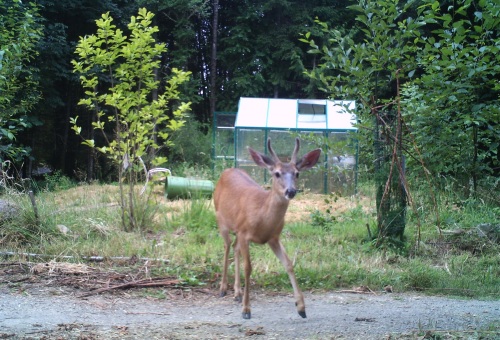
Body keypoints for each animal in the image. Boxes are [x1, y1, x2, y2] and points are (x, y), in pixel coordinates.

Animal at [213, 137, 322, 318]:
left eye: (297, 173)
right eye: (276, 173)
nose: (291, 191)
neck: (262, 217)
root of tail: (227, 170)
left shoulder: (273, 237)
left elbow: (289, 264)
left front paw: (301, 307)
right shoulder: (245, 233)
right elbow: (248, 268)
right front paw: (246, 310)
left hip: (237, 231)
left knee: (234, 248)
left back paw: (237, 292)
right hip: (221, 220)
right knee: (227, 246)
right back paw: (223, 288)